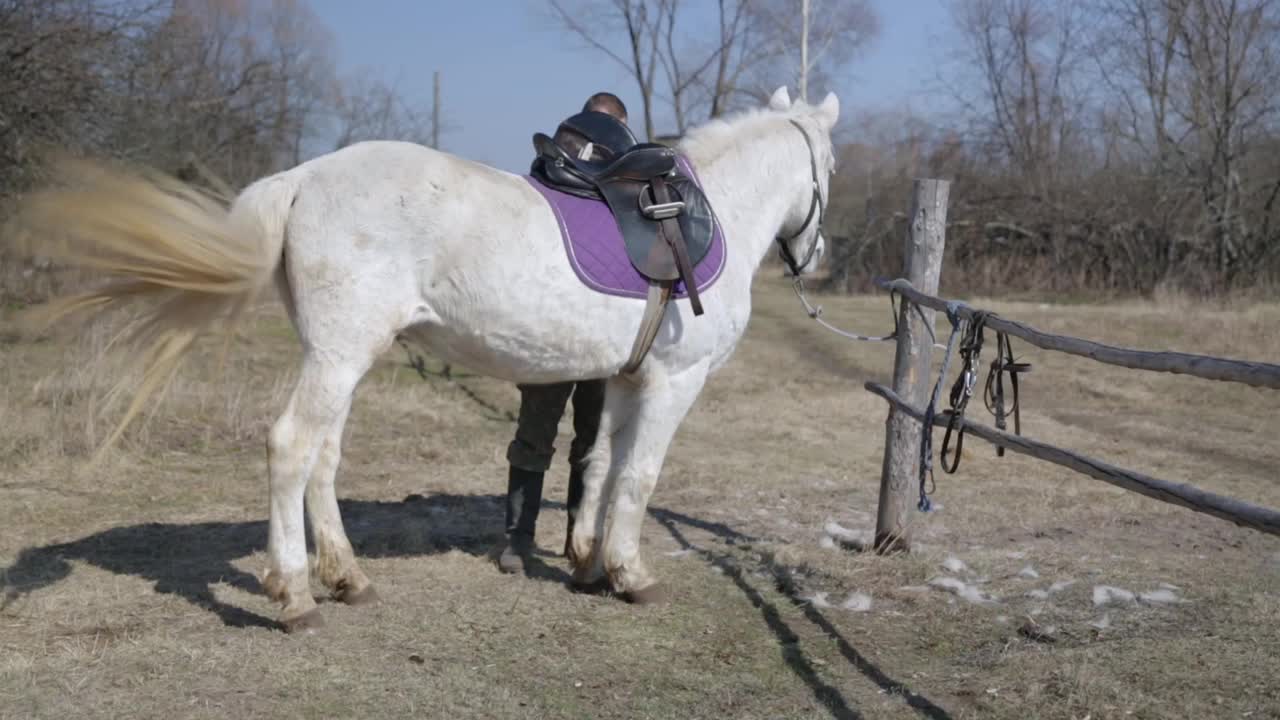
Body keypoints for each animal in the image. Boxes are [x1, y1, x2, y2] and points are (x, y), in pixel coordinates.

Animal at [10, 85, 834, 632]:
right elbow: (639, 477)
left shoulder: (625, 381)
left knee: (324, 458)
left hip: (341, 355)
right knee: (292, 447)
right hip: (340, 355)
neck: (702, 214)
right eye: (829, 165)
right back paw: (297, 597)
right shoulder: (674, 382)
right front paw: (632, 576)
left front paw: (590, 563)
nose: (817, 256)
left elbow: (600, 467)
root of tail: (304, 177)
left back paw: (347, 578)